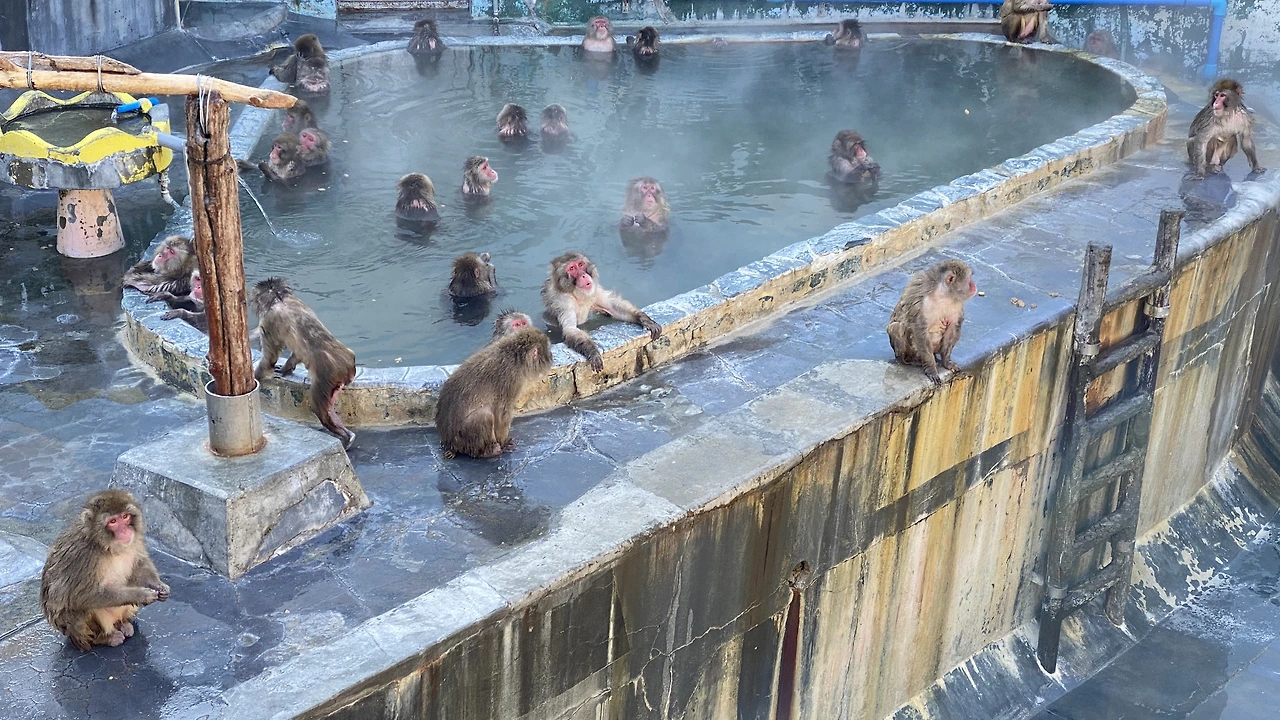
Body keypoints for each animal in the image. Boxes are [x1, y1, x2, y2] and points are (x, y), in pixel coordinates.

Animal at [40, 489, 169, 651]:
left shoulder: (136, 540)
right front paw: (141, 595)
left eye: (125, 516)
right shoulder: (83, 556)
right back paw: (103, 638)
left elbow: (139, 565)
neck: (106, 546)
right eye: (113, 522)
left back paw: (123, 624)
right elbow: (82, 596)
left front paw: (159, 585)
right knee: (79, 611)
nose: (125, 530)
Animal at [251, 278, 357, 447]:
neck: (279, 298)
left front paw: (256, 376)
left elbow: (269, 358)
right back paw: (347, 434)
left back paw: (345, 435)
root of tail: (348, 369)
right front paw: (286, 369)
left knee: (319, 407)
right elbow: (296, 353)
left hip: (325, 380)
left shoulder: (269, 320)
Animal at [435, 325, 552, 459]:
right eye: (547, 352)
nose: (551, 356)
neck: (515, 358)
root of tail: (449, 443)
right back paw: (489, 451)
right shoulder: (511, 381)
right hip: (463, 439)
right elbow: (502, 414)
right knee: (484, 415)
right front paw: (504, 442)